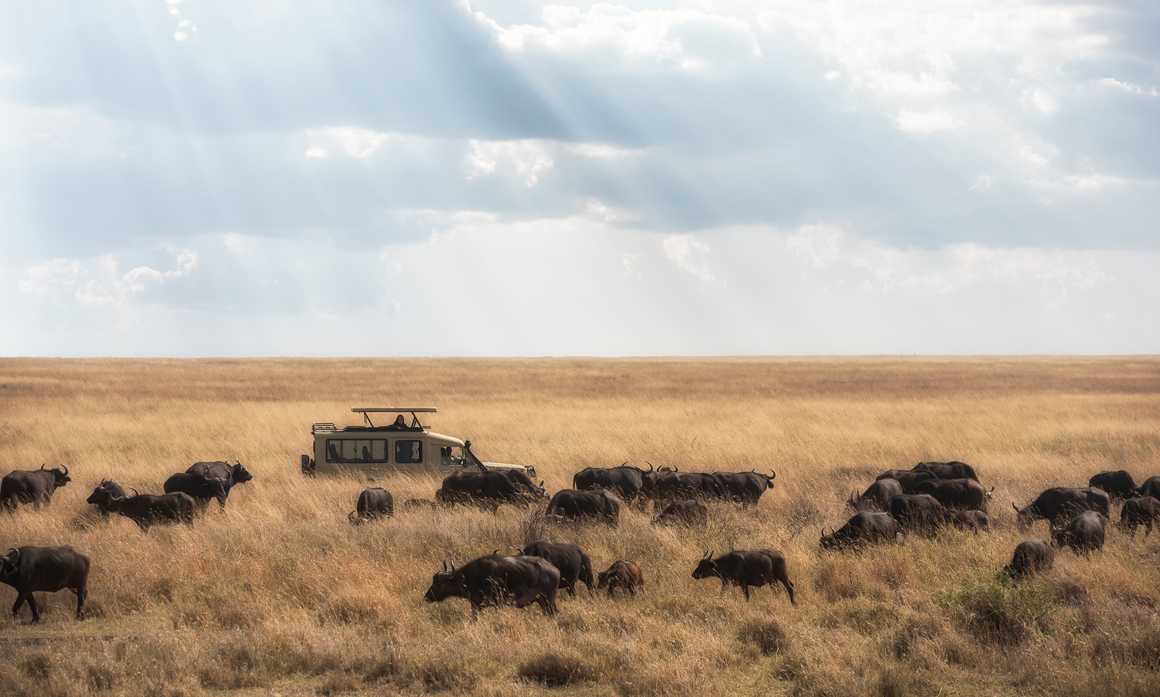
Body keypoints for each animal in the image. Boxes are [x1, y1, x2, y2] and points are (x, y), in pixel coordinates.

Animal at [424, 552, 559, 616]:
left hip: (549, 599)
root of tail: (555, 570)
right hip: (542, 601)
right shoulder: (476, 604)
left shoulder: (497, 603)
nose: (427, 596)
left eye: (439, 583)